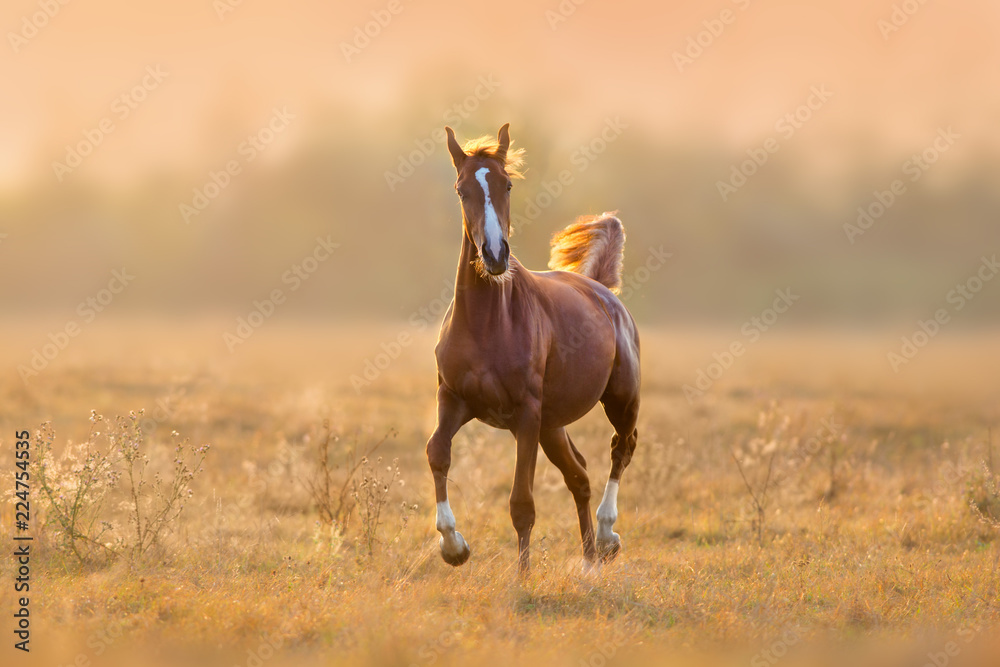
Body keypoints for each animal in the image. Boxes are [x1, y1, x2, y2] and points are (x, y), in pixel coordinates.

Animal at [425, 122, 640, 573]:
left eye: (507, 185)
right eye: (461, 189)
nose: (494, 255)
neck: (487, 324)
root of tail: (600, 289)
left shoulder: (525, 413)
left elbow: (521, 503)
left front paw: (523, 578)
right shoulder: (453, 398)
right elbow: (437, 451)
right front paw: (453, 547)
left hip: (620, 398)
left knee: (621, 448)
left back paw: (607, 537)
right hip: (552, 425)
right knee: (580, 475)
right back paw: (589, 563)